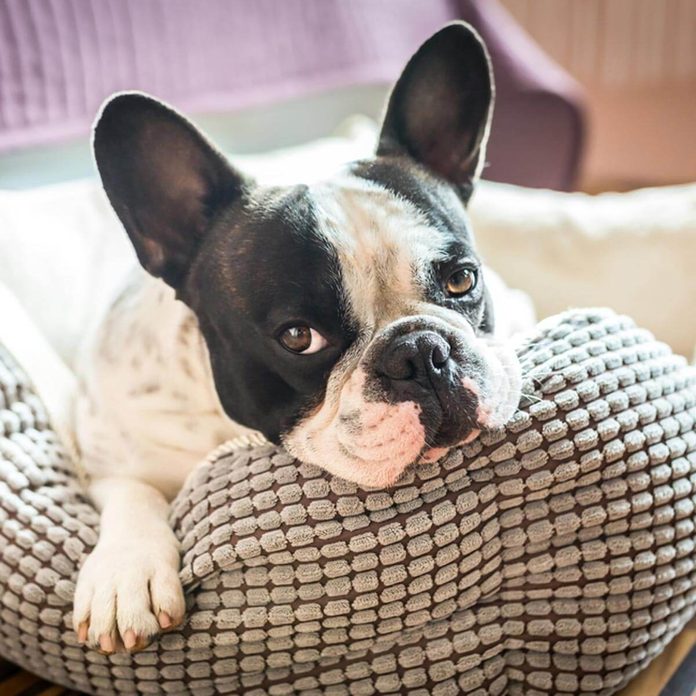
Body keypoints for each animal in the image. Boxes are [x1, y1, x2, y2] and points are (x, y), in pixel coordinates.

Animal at [73, 21, 524, 652]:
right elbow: (133, 490)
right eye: (298, 338)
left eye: (462, 279)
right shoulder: (103, 449)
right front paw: (126, 572)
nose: (421, 354)